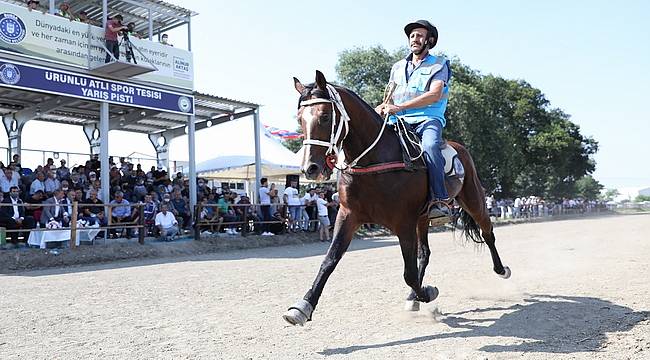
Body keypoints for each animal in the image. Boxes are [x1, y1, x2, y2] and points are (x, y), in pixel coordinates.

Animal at [280, 70, 508, 326]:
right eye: (300, 118)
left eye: (326, 116)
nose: (311, 168)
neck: (374, 161)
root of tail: (459, 149)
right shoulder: (348, 216)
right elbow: (329, 260)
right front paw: (303, 306)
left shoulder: (403, 222)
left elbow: (409, 273)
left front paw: (427, 292)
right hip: (423, 219)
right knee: (425, 254)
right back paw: (413, 297)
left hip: (473, 200)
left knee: (487, 232)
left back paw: (501, 269)